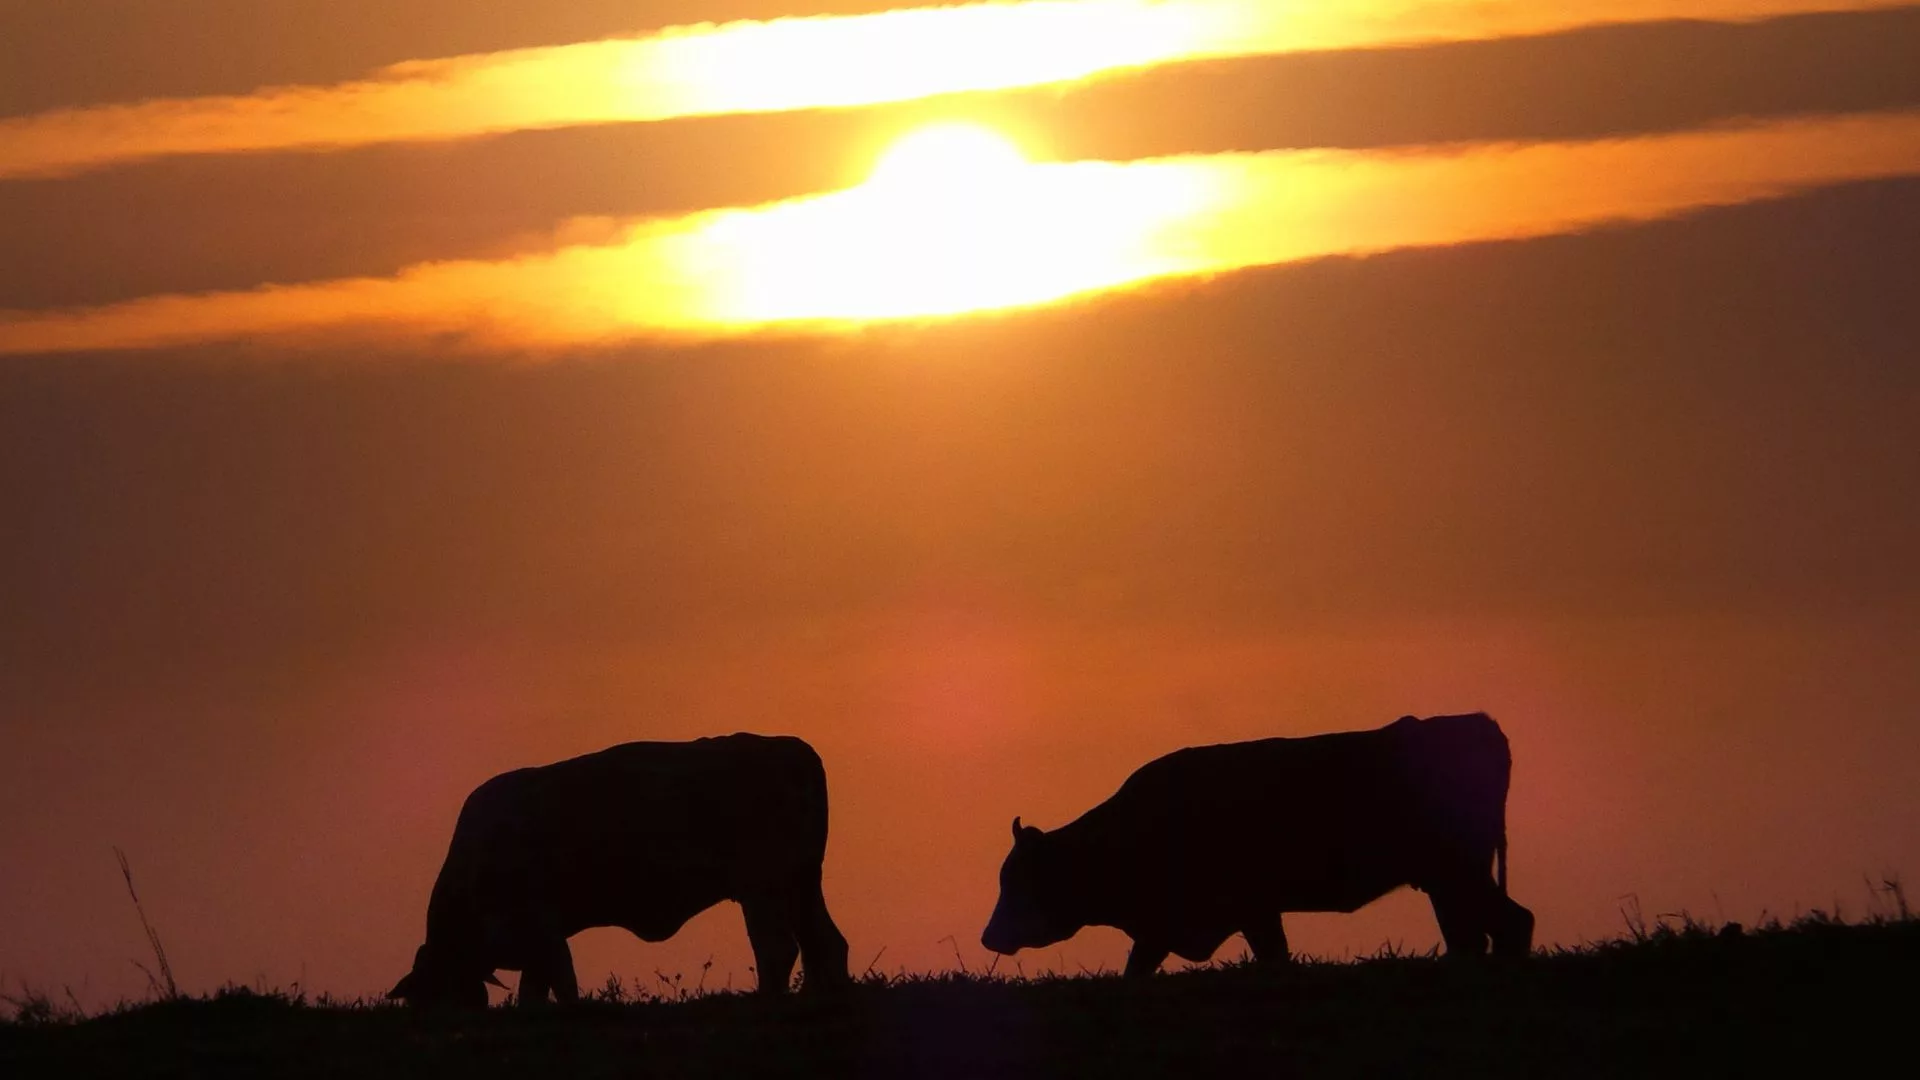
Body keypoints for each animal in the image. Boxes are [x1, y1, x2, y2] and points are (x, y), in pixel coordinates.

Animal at [382, 726, 848, 1006]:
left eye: (433, 991)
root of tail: (788, 747)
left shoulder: (541, 927)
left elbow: (560, 981)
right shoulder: (535, 940)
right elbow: (535, 986)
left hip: (762, 886)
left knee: (778, 947)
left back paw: (769, 1002)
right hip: (802, 882)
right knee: (825, 941)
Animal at [983, 711, 1536, 972]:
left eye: (1020, 881)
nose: (988, 938)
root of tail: (1480, 724)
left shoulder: (1250, 907)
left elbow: (1274, 957)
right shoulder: (1171, 925)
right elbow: (1136, 968)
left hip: (1458, 871)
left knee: (1512, 922)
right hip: (1449, 879)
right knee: (1475, 934)